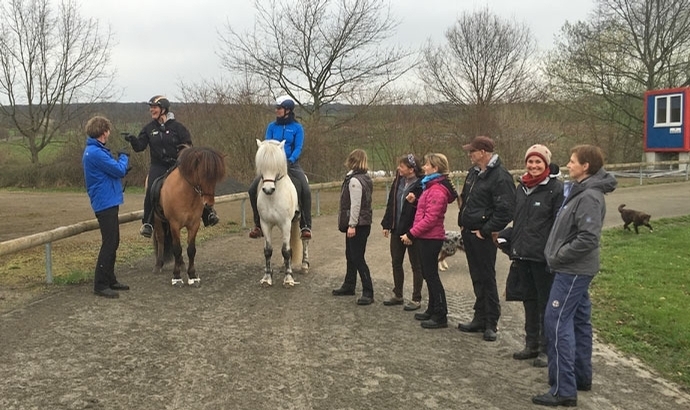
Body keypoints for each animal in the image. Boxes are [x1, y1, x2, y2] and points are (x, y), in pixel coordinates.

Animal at [151, 147, 224, 286]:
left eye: (216, 177)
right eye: (203, 174)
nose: (208, 203)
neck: (186, 194)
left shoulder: (194, 224)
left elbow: (191, 250)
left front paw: (192, 275)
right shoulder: (174, 224)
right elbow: (177, 249)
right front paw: (177, 277)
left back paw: (181, 264)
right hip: (158, 220)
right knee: (161, 238)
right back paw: (158, 265)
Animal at [253, 139, 310, 286]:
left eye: (276, 167)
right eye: (261, 166)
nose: (268, 189)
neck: (272, 197)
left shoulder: (285, 223)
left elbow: (285, 250)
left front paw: (288, 278)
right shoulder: (265, 224)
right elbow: (268, 251)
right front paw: (267, 277)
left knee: (305, 240)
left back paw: (304, 265)